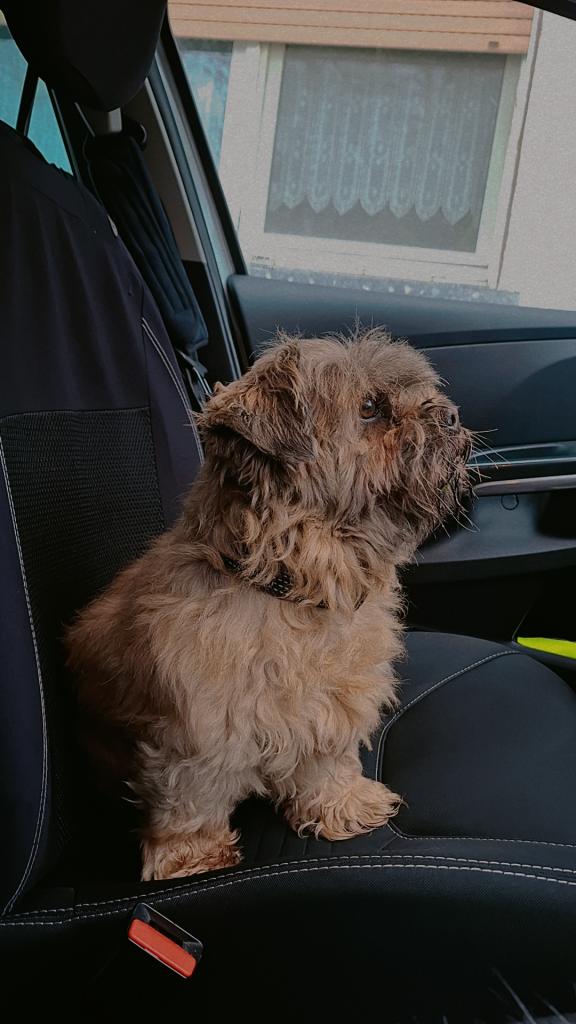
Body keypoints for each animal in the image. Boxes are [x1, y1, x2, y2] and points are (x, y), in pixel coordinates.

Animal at [66, 328, 471, 881]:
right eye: (370, 408)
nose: (450, 414)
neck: (291, 591)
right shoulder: (197, 734)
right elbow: (190, 798)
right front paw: (193, 858)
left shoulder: (326, 708)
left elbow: (326, 763)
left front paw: (342, 805)